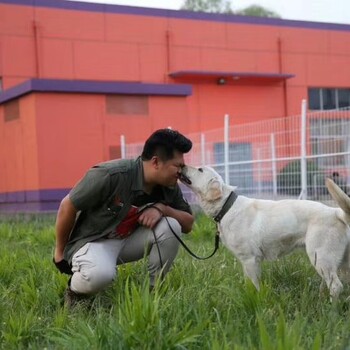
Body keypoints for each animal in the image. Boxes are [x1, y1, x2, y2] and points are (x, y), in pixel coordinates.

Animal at [180, 165, 350, 300]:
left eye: (200, 169)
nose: (182, 164)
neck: (226, 206)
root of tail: (336, 212)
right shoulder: (246, 262)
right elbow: (248, 284)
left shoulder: (250, 259)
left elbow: (255, 285)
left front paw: (256, 299)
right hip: (334, 262)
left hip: (321, 257)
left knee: (336, 286)